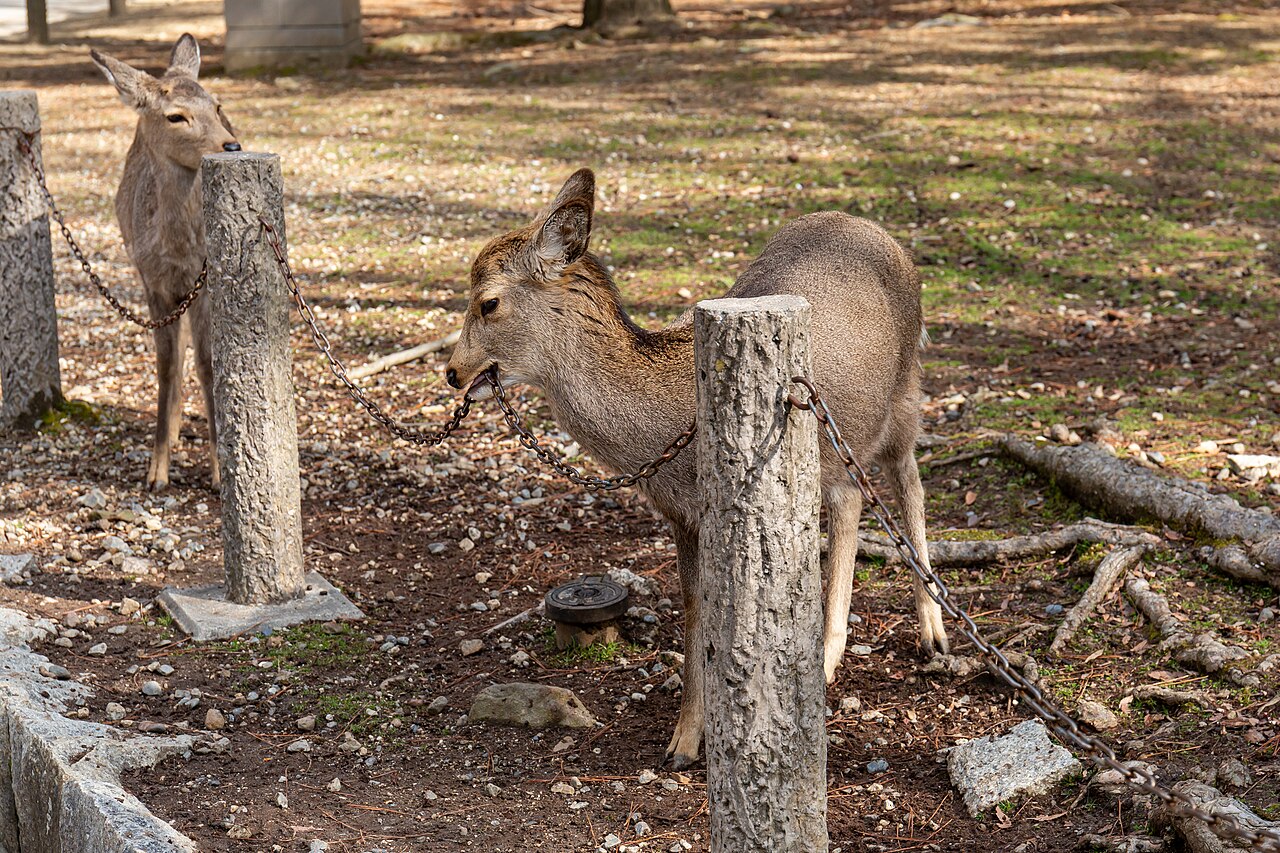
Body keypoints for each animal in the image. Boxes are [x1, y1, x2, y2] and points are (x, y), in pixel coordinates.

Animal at [89, 34, 240, 492]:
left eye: (217, 106)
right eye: (176, 116)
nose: (232, 144)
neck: (177, 251)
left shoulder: (204, 282)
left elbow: (208, 364)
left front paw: (218, 471)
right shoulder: (153, 282)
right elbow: (165, 366)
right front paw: (156, 472)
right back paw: (172, 430)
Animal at [446, 168, 948, 769]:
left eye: (488, 303)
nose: (452, 372)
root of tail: (875, 229)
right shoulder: (680, 516)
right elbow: (693, 613)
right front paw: (685, 740)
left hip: (906, 384)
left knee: (908, 480)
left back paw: (933, 634)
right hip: (837, 437)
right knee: (849, 497)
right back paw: (828, 656)